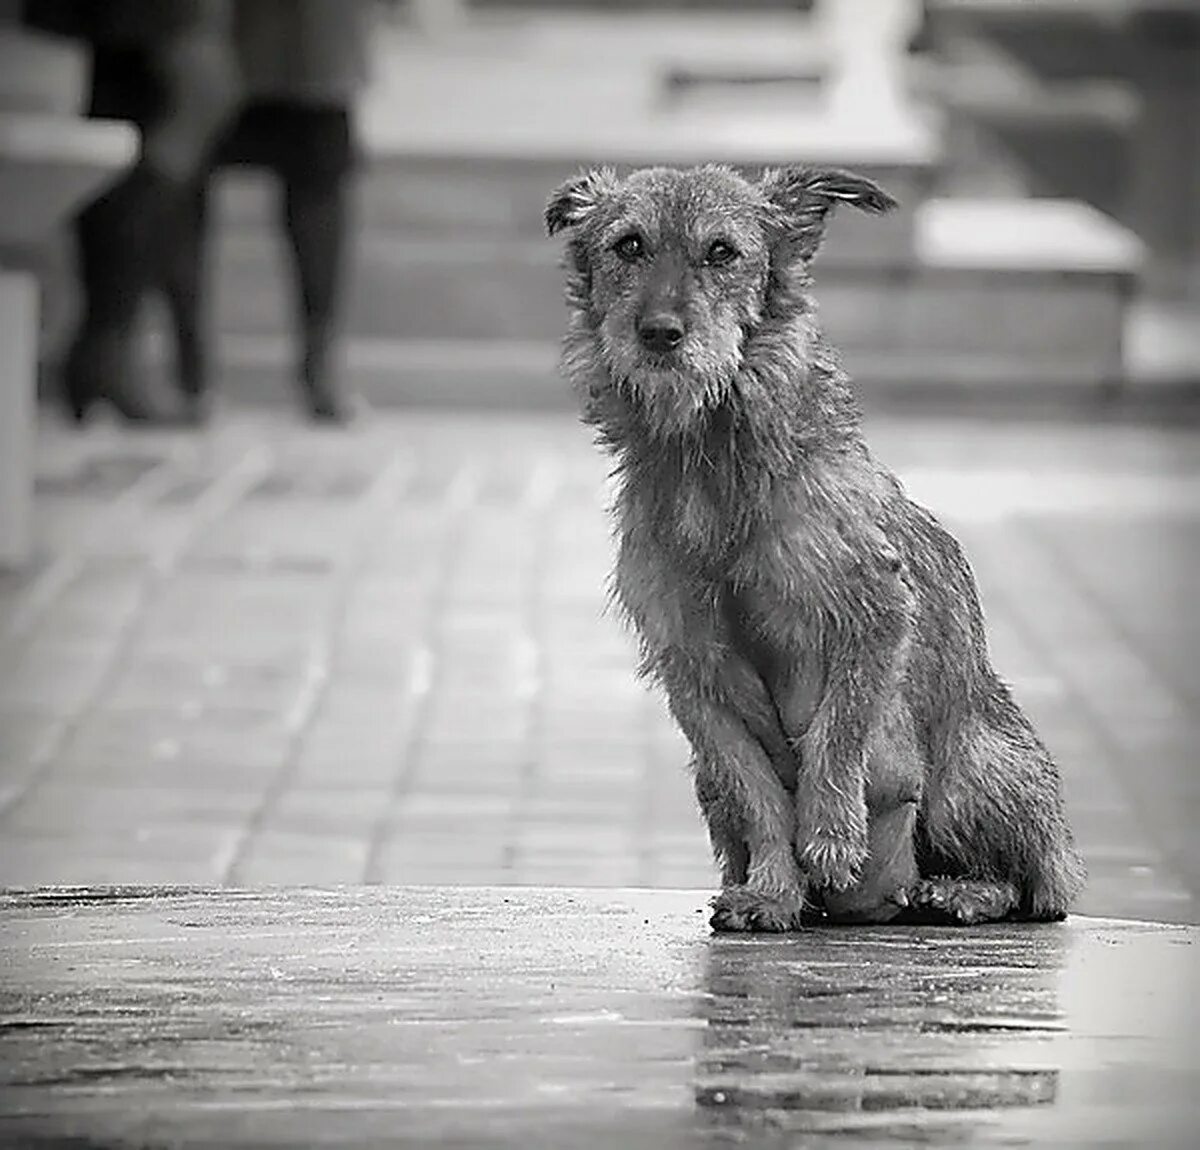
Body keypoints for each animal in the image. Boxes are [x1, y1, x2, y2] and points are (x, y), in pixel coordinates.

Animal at [547, 166, 1089, 931]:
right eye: (629, 245)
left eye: (722, 251)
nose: (659, 333)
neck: (714, 461)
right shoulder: (694, 671)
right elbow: (758, 794)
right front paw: (776, 889)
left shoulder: (877, 614)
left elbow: (837, 733)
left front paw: (831, 838)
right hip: (705, 785)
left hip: (972, 771)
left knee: (1035, 888)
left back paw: (959, 890)